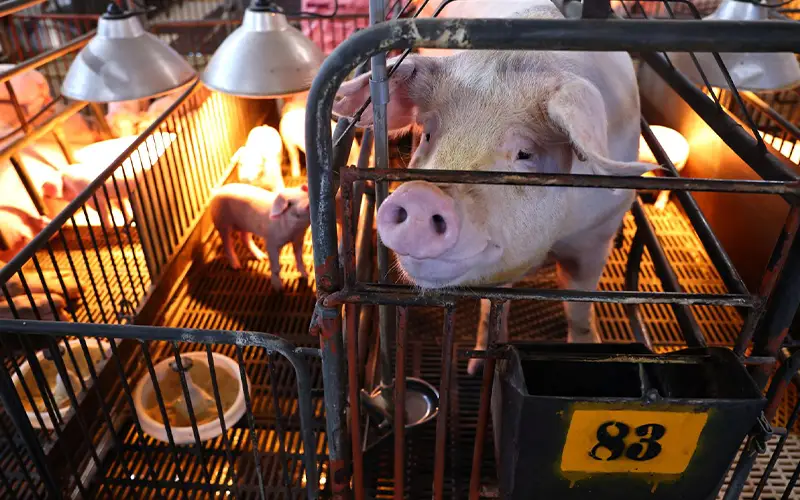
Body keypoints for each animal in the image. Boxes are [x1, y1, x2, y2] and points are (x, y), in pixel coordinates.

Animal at [332, 0, 657, 375]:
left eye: (525, 152)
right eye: (428, 133)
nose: (421, 195)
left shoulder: (598, 232)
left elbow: (579, 304)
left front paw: (589, 348)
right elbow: (493, 306)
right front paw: (476, 367)